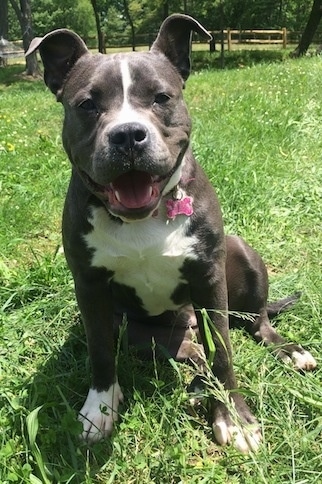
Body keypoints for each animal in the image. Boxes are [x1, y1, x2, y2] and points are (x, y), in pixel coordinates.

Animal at [25, 14, 316, 454]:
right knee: (196, 353)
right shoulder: (90, 288)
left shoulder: (209, 279)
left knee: (254, 322)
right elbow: (100, 351)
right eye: (87, 104)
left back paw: (287, 351)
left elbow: (225, 353)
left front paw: (234, 418)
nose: (128, 134)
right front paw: (100, 407)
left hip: (241, 256)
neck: (139, 219)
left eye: (161, 97)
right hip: (148, 334)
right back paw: (196, 386)